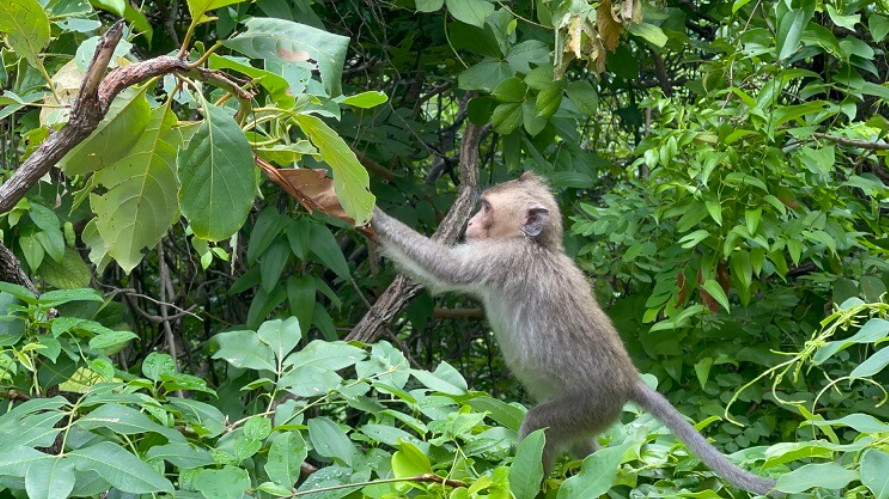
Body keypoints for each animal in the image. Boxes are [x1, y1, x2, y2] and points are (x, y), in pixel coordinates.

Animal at [372, 173, 772, 496]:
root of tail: (629, 379)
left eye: (485, 208)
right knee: (583, 446)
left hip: (592, 404)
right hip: (595, 413)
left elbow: (443, 270)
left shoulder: (505, 257)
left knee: (540, 427)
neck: (538, 245)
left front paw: (371, 215)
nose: (470, 221)